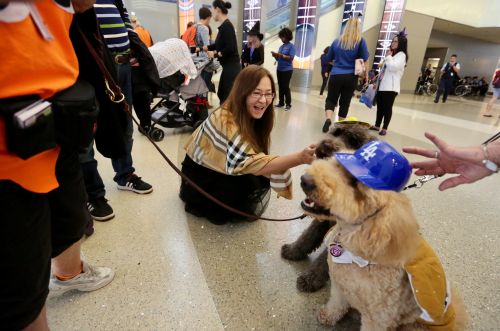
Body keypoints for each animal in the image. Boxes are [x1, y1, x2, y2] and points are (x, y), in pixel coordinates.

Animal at [282, 124, 376, 294]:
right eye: (335, 132)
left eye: (355, 142)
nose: (326, 146)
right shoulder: (322, 221)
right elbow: (307, 237)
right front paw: (293, 250)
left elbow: (326, 259)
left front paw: (310, 279)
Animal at [300, 160, 468, 330]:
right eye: (337, 163)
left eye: (355, 182)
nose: (305, 180)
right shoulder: (339, 287)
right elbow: (336, 303)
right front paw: (327, 316)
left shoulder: (379, 317)